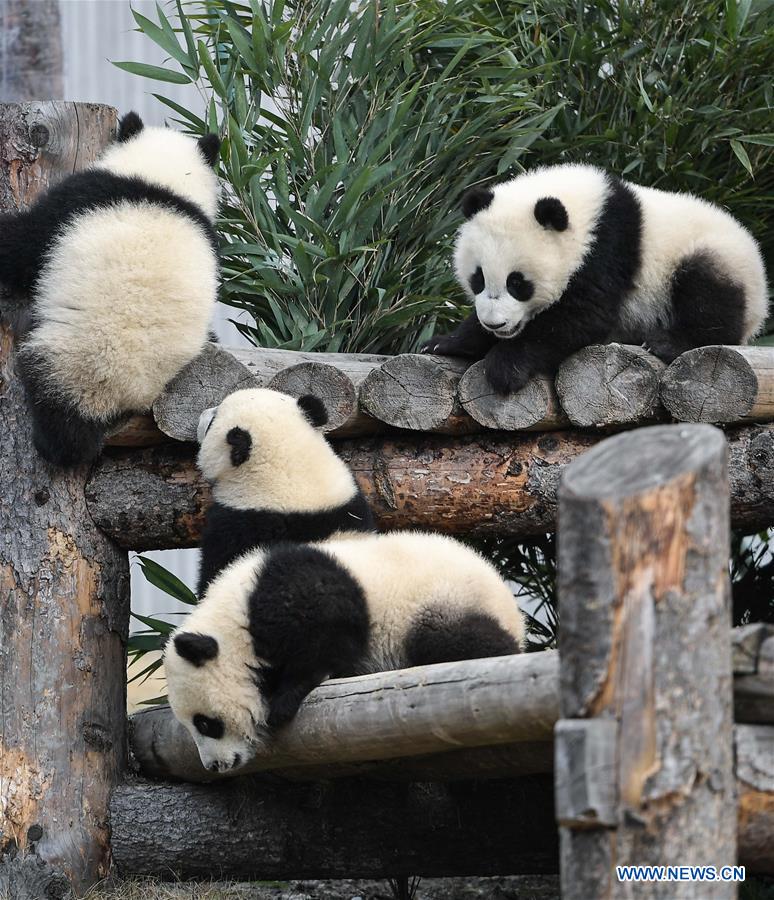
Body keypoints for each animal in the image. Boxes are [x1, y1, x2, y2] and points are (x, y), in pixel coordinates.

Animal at [0, 112, 221, 466]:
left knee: (62, 412)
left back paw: (58, 446)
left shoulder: (76, 199)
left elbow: (24, 244)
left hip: (71, 357)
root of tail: (127, 394)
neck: (160, 183)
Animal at [164, 531, 525, 772]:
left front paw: (283, 701)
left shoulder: (302, 594)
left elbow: (329, 643)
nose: (215, 766)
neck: (236, 620)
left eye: (206, 724)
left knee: (451, 639)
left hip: (442, 601)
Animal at [423, 163, 769, 394]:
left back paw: (667, 342)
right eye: (478, 279)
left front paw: (505, 367)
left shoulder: (607, 249)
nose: (496, 324)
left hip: (715, 258)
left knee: (708, 298)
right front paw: (444, 343)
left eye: (517, 283)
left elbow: (582, 317)